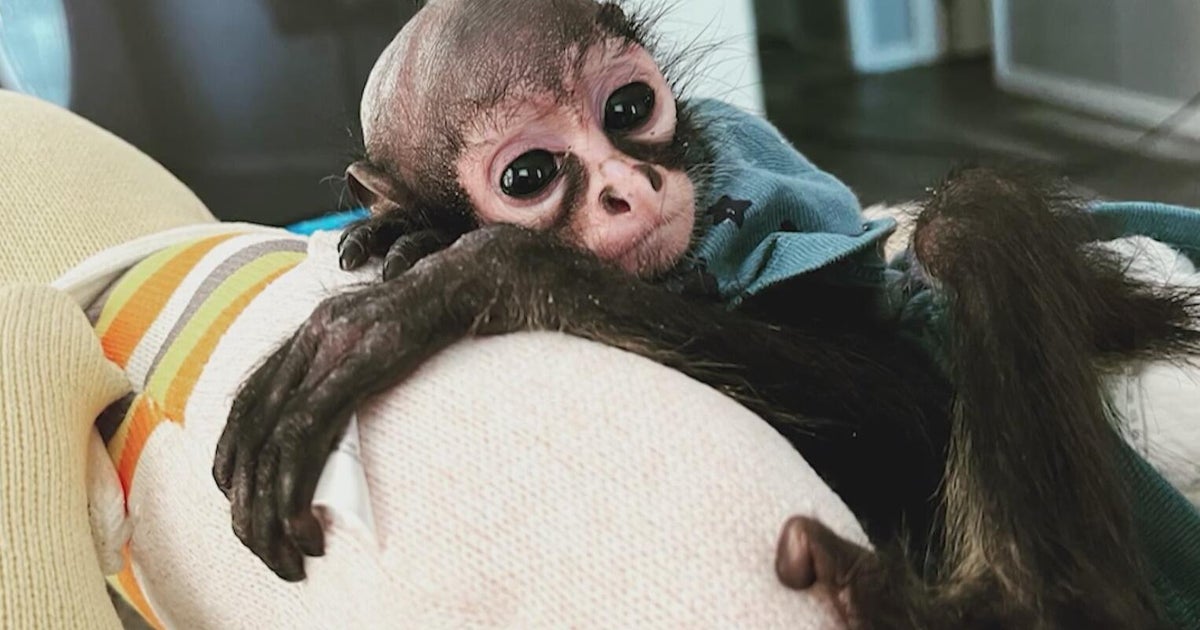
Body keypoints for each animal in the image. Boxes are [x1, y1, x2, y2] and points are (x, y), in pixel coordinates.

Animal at [211, 1, 1200, 627]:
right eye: (528, 174)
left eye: (628, 106)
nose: (628, 186)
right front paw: (405, 227)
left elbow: (915, 409)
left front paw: (466, 280)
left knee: (970, 217)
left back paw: (1010, 606)